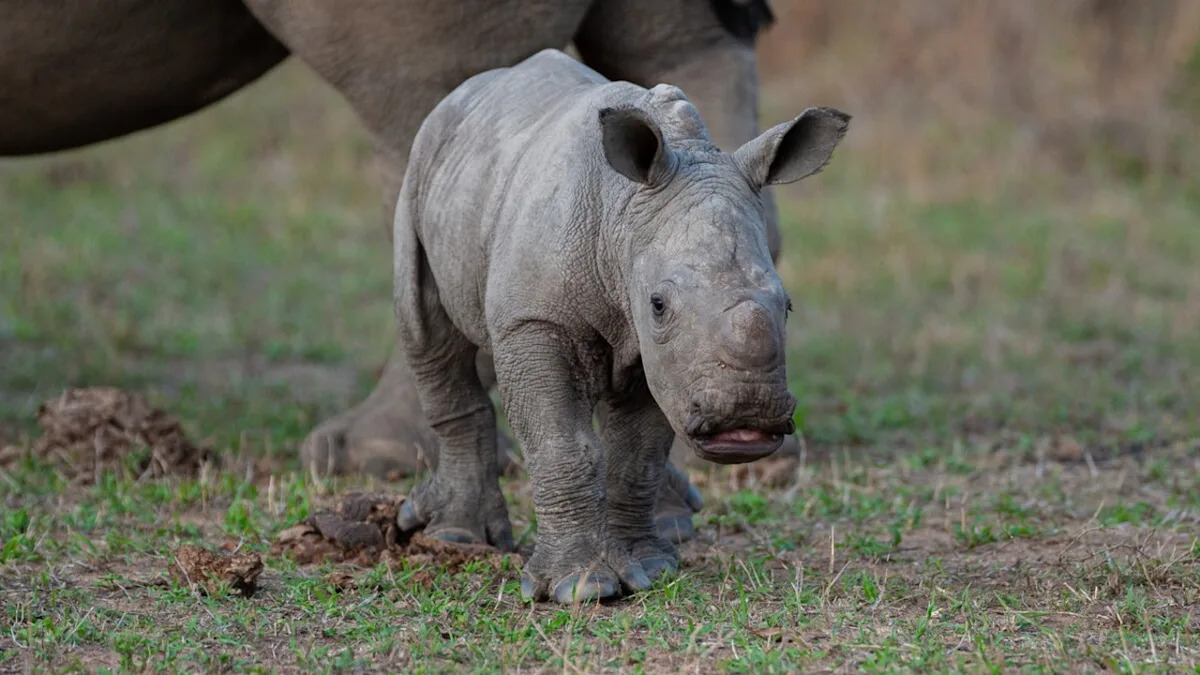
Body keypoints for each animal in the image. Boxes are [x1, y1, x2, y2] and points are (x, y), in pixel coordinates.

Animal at [389, 49, 848, 603]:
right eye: (659, 305)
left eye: (787, 306)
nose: (747, 420)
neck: (622, 215)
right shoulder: (533, 320)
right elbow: (560, 442)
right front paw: (580, 589)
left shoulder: (661, 355)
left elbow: (637, 453)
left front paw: (650, 568)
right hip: (422, 169)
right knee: (426, 331)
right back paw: (455, 536)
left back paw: (672, 527)